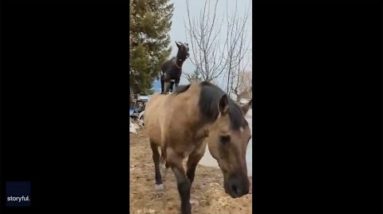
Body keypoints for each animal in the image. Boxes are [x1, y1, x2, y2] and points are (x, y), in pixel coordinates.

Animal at [144, 81, 252, 213]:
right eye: (224, 138)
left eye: (249, 138)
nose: (241, 189)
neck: (186, 116)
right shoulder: (174, 156)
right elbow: (184, 185)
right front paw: (185, 209)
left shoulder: (196, 154)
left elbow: (190, 179)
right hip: (152, 141)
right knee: (155, 158)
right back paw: (158, 182)